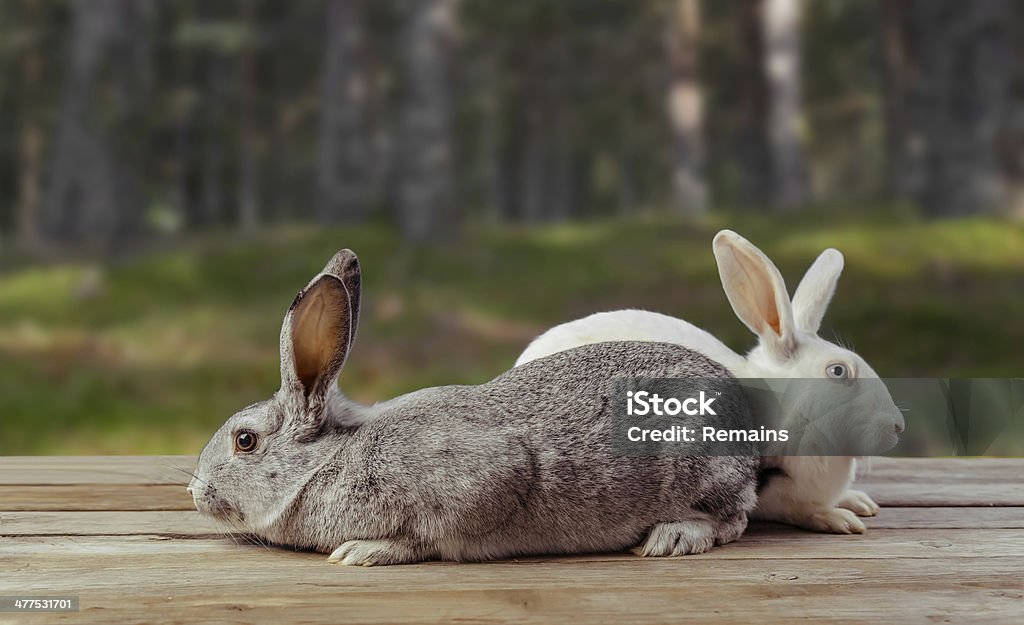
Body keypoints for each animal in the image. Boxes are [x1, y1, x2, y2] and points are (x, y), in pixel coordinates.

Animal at [188, 248, 757, 565]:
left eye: (245, 440)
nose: (194, 492)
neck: (327, 462)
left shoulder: (484, 480)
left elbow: (425, 535)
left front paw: (363, 552)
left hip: (702, 470)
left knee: (731, 521)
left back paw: (672, 537)